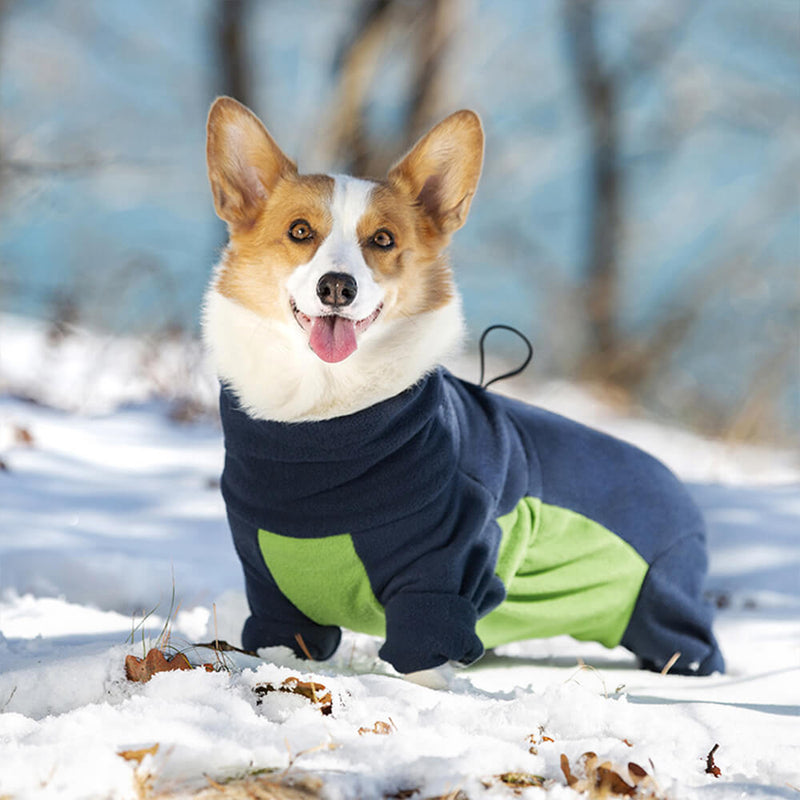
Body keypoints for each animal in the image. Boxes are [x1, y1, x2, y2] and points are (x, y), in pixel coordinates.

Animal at [203, 97, 720, 680]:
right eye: (298, 231)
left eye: (383, 240)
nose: (336, 287)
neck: (321, 420)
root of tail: (680, 489)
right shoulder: (271, 588)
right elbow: (279, 647)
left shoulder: (441, 576)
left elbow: (423, 661)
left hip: (661, 613)